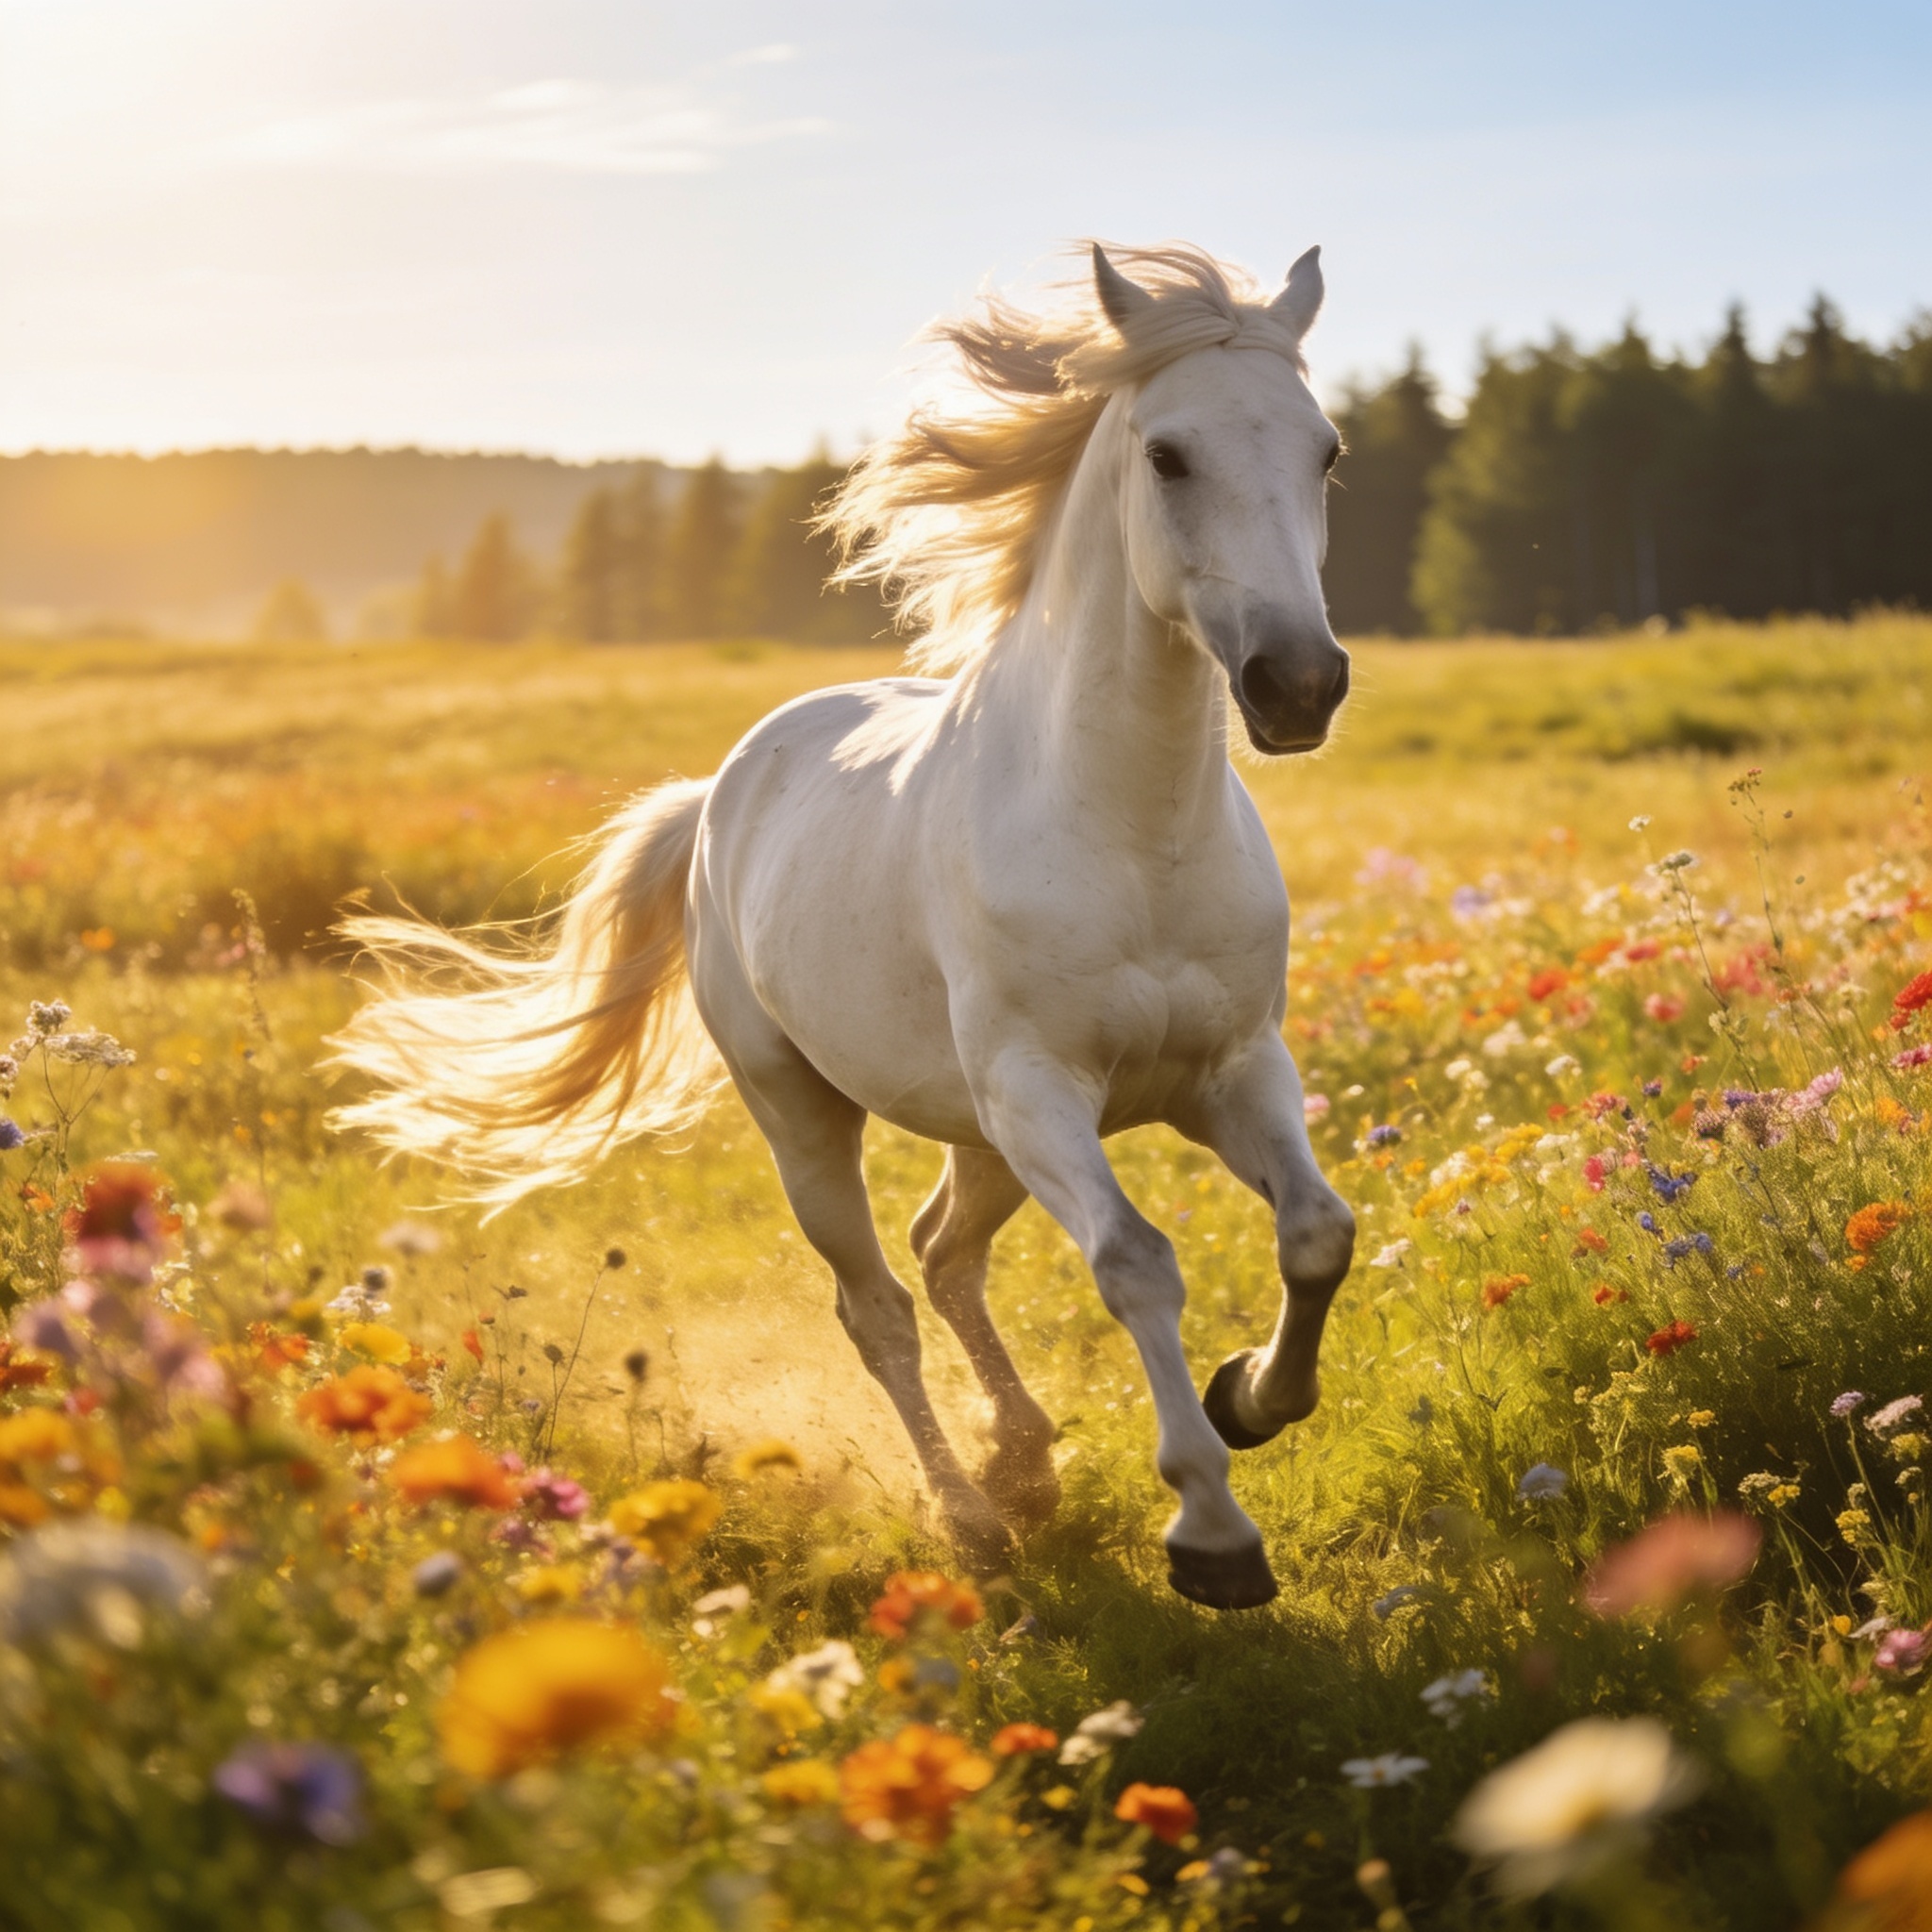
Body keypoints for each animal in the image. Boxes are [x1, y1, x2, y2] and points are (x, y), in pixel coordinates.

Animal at [329, 241, 1357, 1611]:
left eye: (1325, 451)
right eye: (1167, 455)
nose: (1297, 685)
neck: (1130, 834)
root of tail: (719, 792)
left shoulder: (1231, 1071)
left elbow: (1316, 1233)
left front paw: (1249, 1395)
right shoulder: (1041, 1090)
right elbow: (1136, 1260)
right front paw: (1212, 1532)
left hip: (978, 1132)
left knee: (942, 1253)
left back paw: (1024, 1462)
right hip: (812, 1113)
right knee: (877, 1304)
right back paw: (973, 1517)